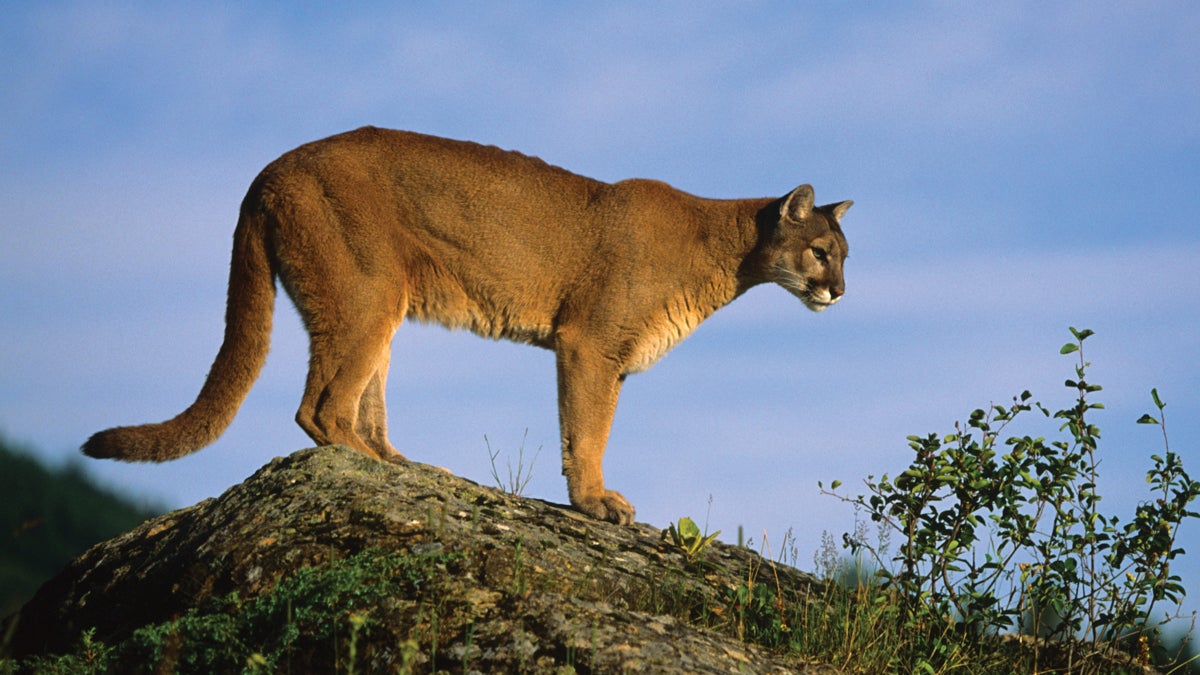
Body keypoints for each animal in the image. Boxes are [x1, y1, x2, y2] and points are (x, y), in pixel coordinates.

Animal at [83, 127, 852, 525]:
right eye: (821, 251)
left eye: (846, 255)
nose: (840, 290)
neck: (727, 249)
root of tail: (268, 168)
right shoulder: (589, 344)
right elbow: (587, 431)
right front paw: (594, 501)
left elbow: (585, 429)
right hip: (365, 294)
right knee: (318, 408)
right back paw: (376, 469)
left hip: (381, 305)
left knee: (355, 402)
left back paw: (405, 463)